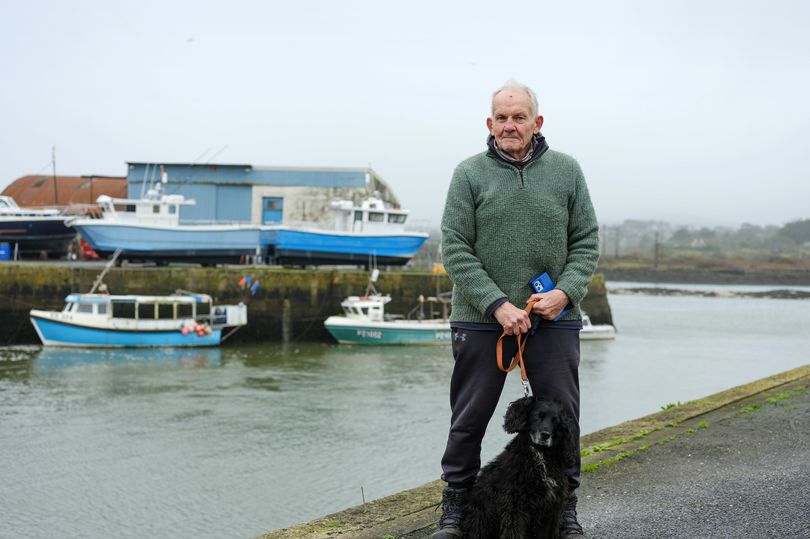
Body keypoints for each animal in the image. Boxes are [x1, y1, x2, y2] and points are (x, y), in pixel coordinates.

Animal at [458, 396, 576, 539]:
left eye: (556, 422)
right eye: (537, 416)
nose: (545, 435)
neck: (540, 455)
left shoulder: (551, 508)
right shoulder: (515, 507)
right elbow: (514, 532)